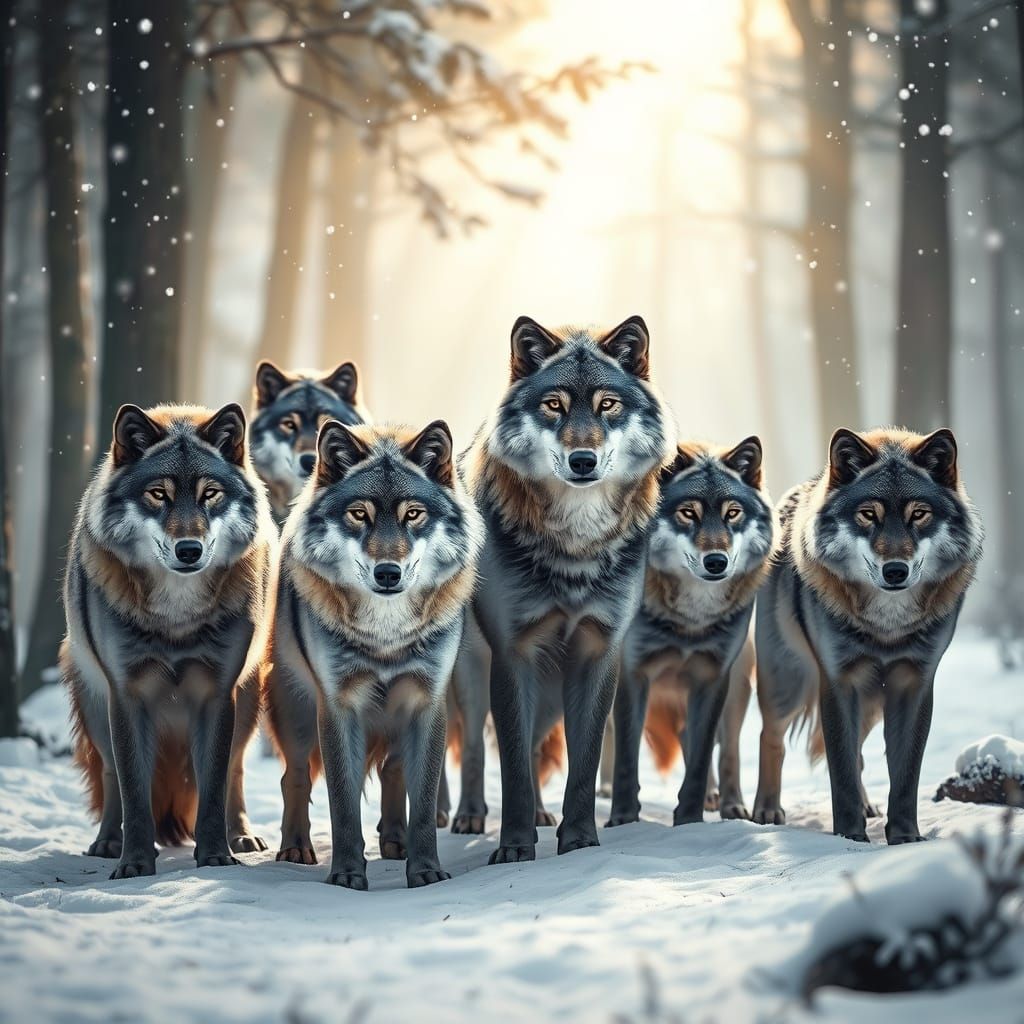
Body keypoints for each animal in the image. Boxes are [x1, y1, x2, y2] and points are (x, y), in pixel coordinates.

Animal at [62, 403, 276, 878]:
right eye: (158, 494)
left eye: (210, 494)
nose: (189, 550)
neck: (177, 616)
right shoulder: (126, 696)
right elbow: (134, 792)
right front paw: (135, 863)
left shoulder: (217, 695)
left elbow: (213, 787)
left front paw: (216, 856)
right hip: (97, 710)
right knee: (110, 778)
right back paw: (108, 842)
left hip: (247, 706)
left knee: (235, 771)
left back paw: (241, 835)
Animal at [265, 420, 483, 888]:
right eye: (359, 514)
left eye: (413, 514)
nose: (388, 573)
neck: (386, 634)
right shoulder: (337, 707)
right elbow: (343, 804)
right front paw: (347, 874)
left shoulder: (426, 703)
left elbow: (423, 803)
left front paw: (426, 870)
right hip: (296, 714)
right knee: (293, 777)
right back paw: (295, 848)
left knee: (392, 771)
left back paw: (395, 842)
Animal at [464, 315, 673, 862]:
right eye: (554, 405)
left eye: (608, 404)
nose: (583, 460)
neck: (574, 547)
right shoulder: (513, 653)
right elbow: (513, 767)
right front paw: (515, 847)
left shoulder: (598, 651)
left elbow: (583, 760)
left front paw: (578, 841)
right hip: (473, 676)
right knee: (475, 747)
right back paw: (463, 819)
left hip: (551, 689)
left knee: (539, 744)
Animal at [606, 437, 775, 828]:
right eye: (688, 513)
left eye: (732, 513)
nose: (716, 562)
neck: (690, 618)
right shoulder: (632, 675)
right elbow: (626, 758)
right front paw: (623, 819)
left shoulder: (712, 678)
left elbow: (700, 756)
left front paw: (688, 819)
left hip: (737, 689)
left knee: (724, 749)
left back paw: (730, 804)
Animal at [754, 427, 982, 843]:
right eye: (868, 515)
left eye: (918, 515)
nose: (895, 571)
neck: (887, 625)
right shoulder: (838, 681)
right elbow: (841, 772)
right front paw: (850, 837)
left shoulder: (913, 683)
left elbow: (904, 774)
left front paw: (906, 837)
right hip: (788, 683)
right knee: (771, 737)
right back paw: (765, 811)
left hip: (871, 703)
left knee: (858, 753)